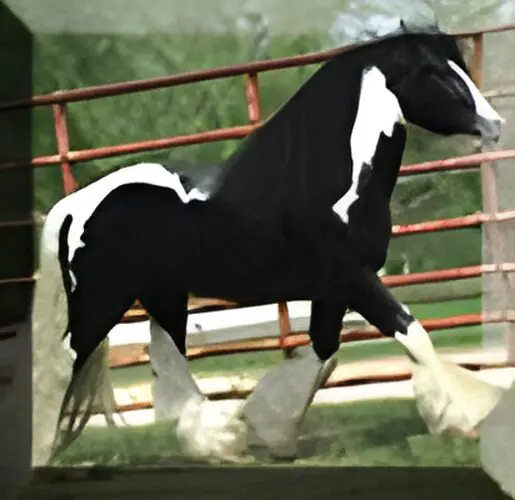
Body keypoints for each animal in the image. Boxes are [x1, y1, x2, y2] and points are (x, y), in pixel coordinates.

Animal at [33, 19, 508, 464]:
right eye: (435, 73)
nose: (496, 125)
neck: (325, 183)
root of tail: (75, 204)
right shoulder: (354, 278)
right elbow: (411, 332)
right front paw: (462, 417)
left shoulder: (333, 289)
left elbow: (325, 352)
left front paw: (268, 429)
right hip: (102, 301)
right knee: (63, 365)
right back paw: (43, 453)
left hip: (161, 293)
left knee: (169, 356)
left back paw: (215, 441)